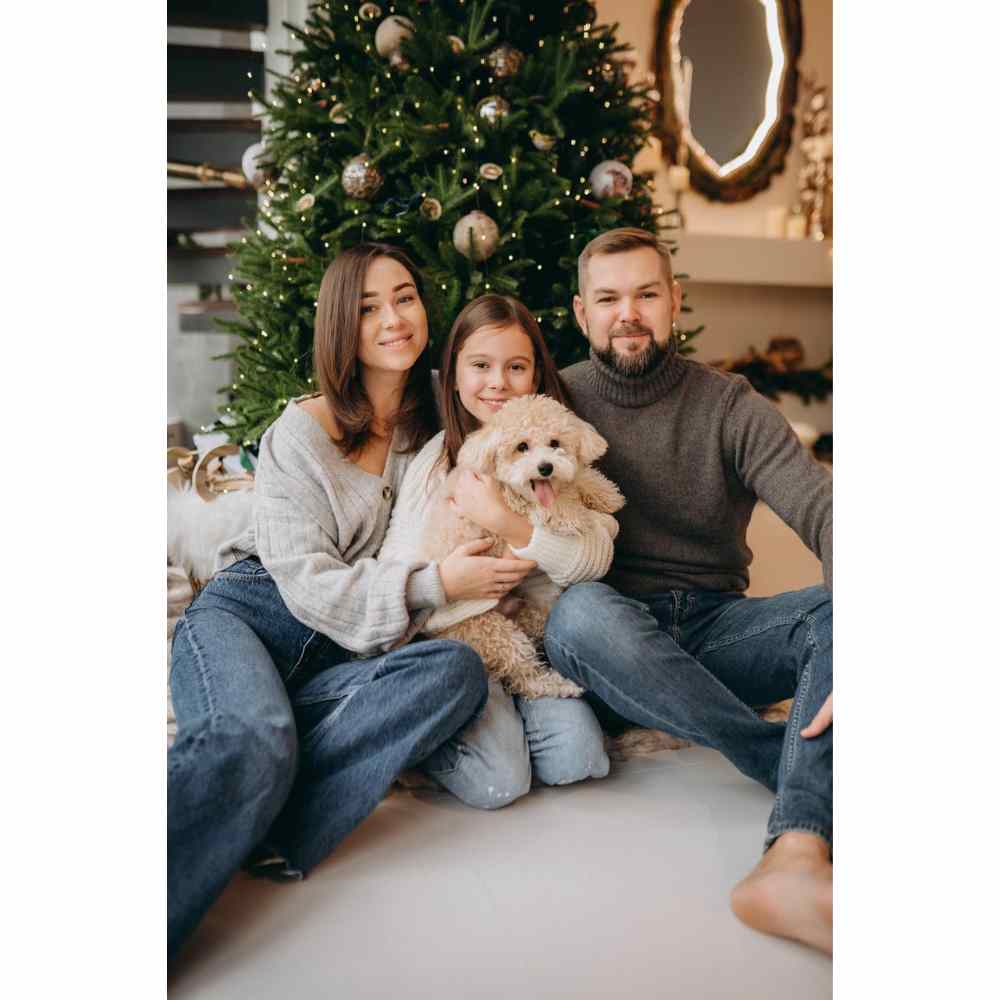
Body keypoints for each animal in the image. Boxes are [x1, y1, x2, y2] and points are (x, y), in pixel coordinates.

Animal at [418, 394, 620, 700]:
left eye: (555, 443)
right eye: (521, 447)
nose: (546, 468)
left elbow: (578, 477)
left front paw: (606, 494)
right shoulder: (516, 506)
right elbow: (557, 507)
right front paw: (578, 515)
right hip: (495, 632)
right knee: (525, 677)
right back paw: (563, 685)